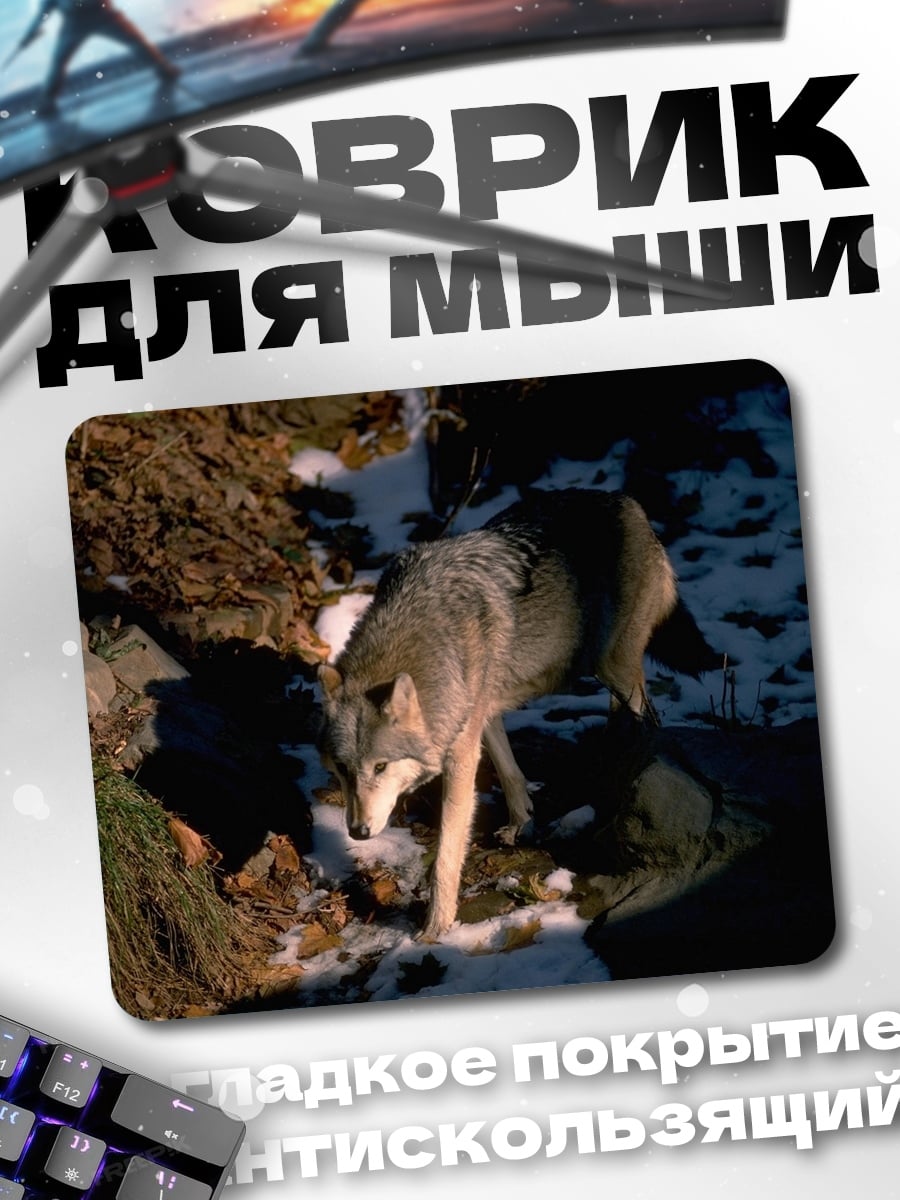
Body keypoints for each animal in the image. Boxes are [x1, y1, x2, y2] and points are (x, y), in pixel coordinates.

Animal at [318, 487, 718, 939]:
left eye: (381, 767)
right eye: (343, 769)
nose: (357, 831)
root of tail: (628, 502)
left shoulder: (461, 754)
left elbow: (446, 855)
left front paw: (437, 926)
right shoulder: (481, 708)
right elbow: (509, 770)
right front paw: (521, 820)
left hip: (613, 668)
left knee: (648, 721)